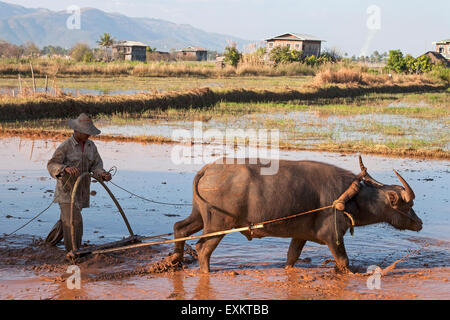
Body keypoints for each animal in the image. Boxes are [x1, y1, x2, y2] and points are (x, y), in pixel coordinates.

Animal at [171, 156, 422, 272]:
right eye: (407, 205)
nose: (419, 224)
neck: (350, 198)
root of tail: (208, 169)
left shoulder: (299, 235)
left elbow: (291, 257)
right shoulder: (333, 236)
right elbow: (343, 261)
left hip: (199, 215)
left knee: (180, 228)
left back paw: (175, 260)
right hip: (219, 223)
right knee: (203, 248)